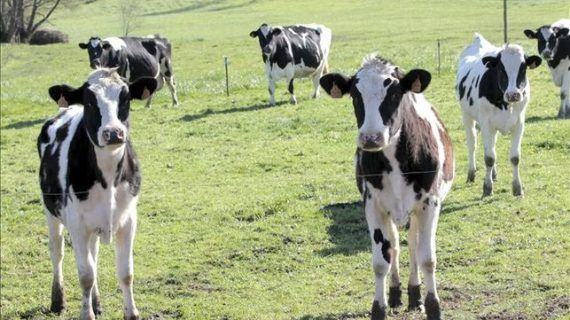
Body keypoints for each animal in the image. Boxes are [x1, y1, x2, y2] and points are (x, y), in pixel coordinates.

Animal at [38, 68, 156, 320]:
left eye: (126, 98)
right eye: (90, 102)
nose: (113, 133)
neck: (108, 178)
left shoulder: (128, 220)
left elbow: (125, 272)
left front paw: (131, 312)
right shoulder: (77, 224)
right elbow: (85, 275)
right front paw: (86, 314)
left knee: (94, 253)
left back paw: (97, 301)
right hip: (51, 212)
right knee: (57, 252)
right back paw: (58, 300)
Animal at [320, 53, 452, 318]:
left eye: (394, 94)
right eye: (355, 95)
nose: (371, 138)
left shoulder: (430, 203)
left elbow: (427, 258)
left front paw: (433, 306)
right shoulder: (373, 205)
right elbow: (381, 262)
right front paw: (379, 308)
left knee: (412, 245)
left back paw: (414, 294)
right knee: (395, 246)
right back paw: (397, 293)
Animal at [454, 33, 540, 196]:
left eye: (523, 68)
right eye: (501, 69)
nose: (513, 95)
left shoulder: (519, 123)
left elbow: (515, 157)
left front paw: (517, 188)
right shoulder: (486, 123)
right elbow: (489, 157)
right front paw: (487, 188)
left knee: (491, 145)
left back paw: (493, 174)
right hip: (467, 116)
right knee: (472, 144)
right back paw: (471, 173)